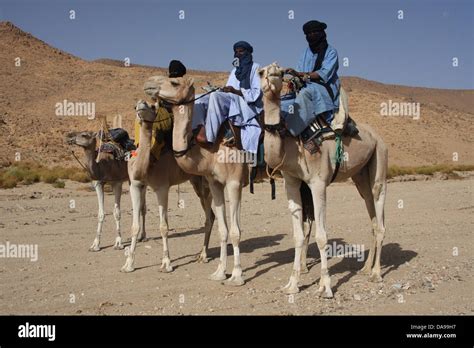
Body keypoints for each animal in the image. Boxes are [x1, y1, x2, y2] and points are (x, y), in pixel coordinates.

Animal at [120, 102, 215, 274]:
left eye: (152, 106)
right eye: (135, 105)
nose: (141, 106)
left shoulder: (162, 187)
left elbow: (164, 227)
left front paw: (166, 263)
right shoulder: (135, 185)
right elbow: (134, 226)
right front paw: (128, 264)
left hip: (205, 181)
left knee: (210, 216)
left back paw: (204, 255)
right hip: (195, 180)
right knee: (210, 214)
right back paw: (202, 254)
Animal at [150, 77, 250, 286]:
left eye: (174, 82)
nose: (149, 84)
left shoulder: (234, 182)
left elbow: (235, 232)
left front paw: (237, 276)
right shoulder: (215, 183)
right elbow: (223, 230)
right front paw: (219, 272)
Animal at [260, 62, 388, 296]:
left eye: (280, 71)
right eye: (260, 72)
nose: (273, 73)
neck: (292, 144)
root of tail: (378, 136)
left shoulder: (318, 183)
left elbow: (321, 236)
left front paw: (325, 286)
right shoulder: (292, 183)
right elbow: (298, 235)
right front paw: (292, 285)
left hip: (380, 157)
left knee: (379, 204)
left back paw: (376, 273)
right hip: (360, 177)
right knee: (372, 214)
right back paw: (366, 268)